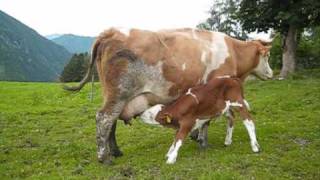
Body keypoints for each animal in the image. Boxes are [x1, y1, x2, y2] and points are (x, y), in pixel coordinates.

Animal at [64, 27, 272, 164]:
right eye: (267, 57)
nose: (271, 73)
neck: (232, 52)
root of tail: (111, 32)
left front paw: (197, 136)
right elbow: (208, 119)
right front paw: (202, 141)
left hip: (112, 95)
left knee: (111, 121)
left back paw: (115, 152)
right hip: (119, 93)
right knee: (105, 118)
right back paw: (104, 157)